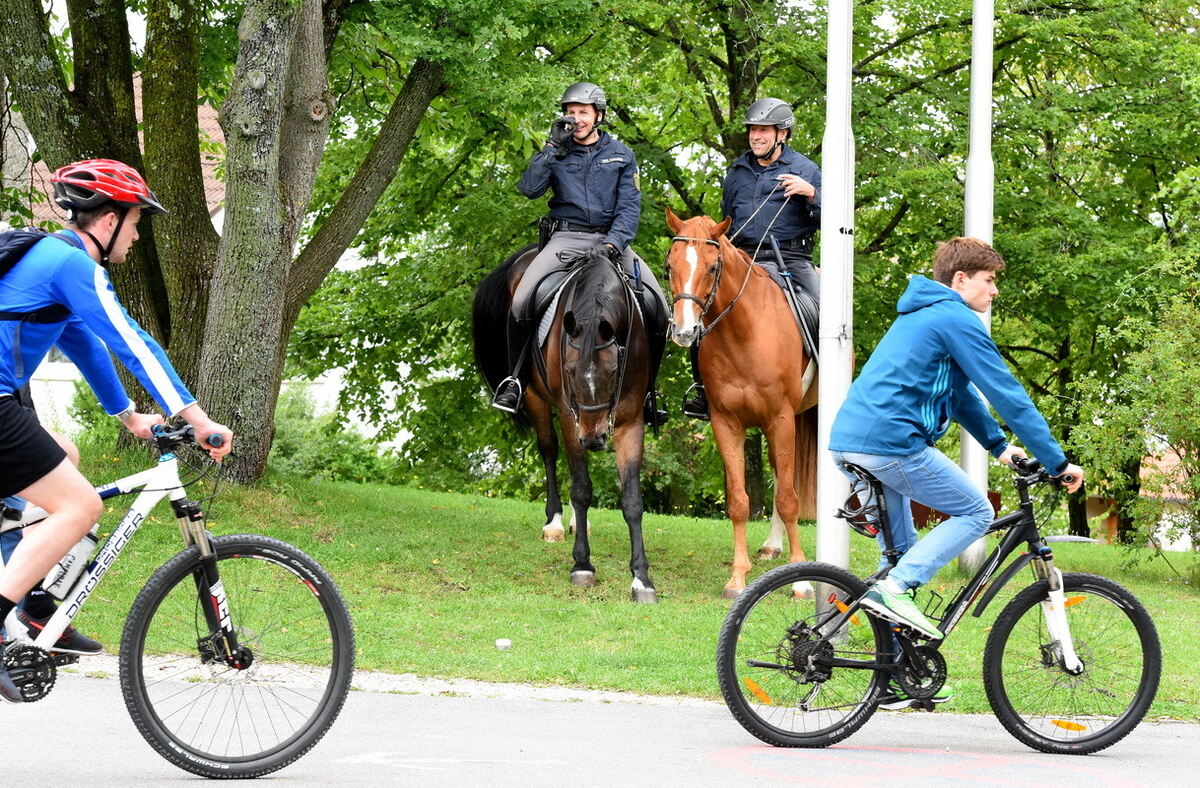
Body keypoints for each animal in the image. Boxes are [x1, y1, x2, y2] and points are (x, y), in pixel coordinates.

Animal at [470, 242, 657, 599]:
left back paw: (572, 522)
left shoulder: (630, 420)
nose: (594, 439)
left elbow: (632, 500)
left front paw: (641, 578)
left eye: (613, 370)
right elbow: (582, 488)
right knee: (549, 450)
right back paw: (555, 522)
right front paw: (582, 565)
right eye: (570, 371)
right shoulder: (571, 418)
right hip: (536, 398)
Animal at [662, 208, 820, 597]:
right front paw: (737, 577)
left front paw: (801, 580)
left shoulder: (781, 419)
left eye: (711, 268)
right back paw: (772, 546)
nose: (684, 332)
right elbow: (738, 501)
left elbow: (790, 499)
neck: (744, 332)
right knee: (779, 474)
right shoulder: (726, 422)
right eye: (670, 265)